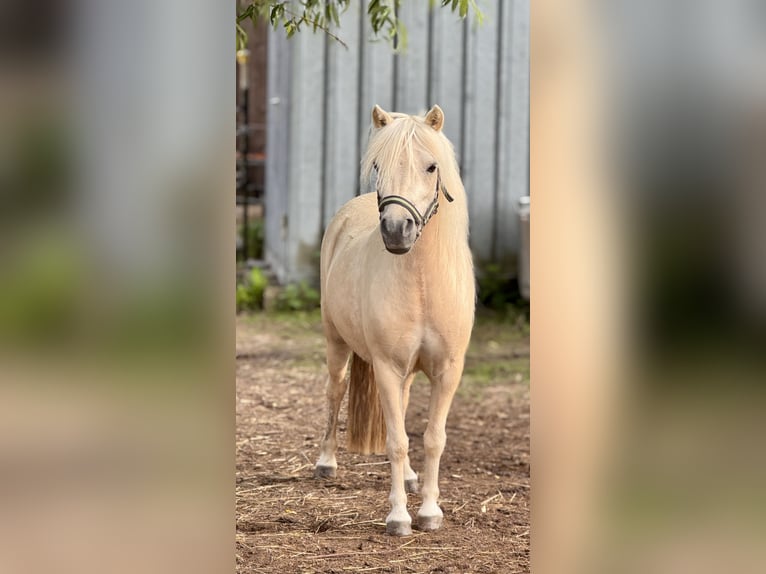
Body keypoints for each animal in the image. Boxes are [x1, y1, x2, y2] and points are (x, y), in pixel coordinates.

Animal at [314, 104, 475, 537]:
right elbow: (396, 441)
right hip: (336, 343)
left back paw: (409, 477)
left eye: (432, 167)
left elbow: (433, 438)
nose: (396, 231)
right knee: (336, 391)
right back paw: (326, 463)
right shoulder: (386, 367)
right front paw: (399, 518)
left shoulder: (447, 371)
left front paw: (430, 512)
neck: (422, 285)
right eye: (377, 166)